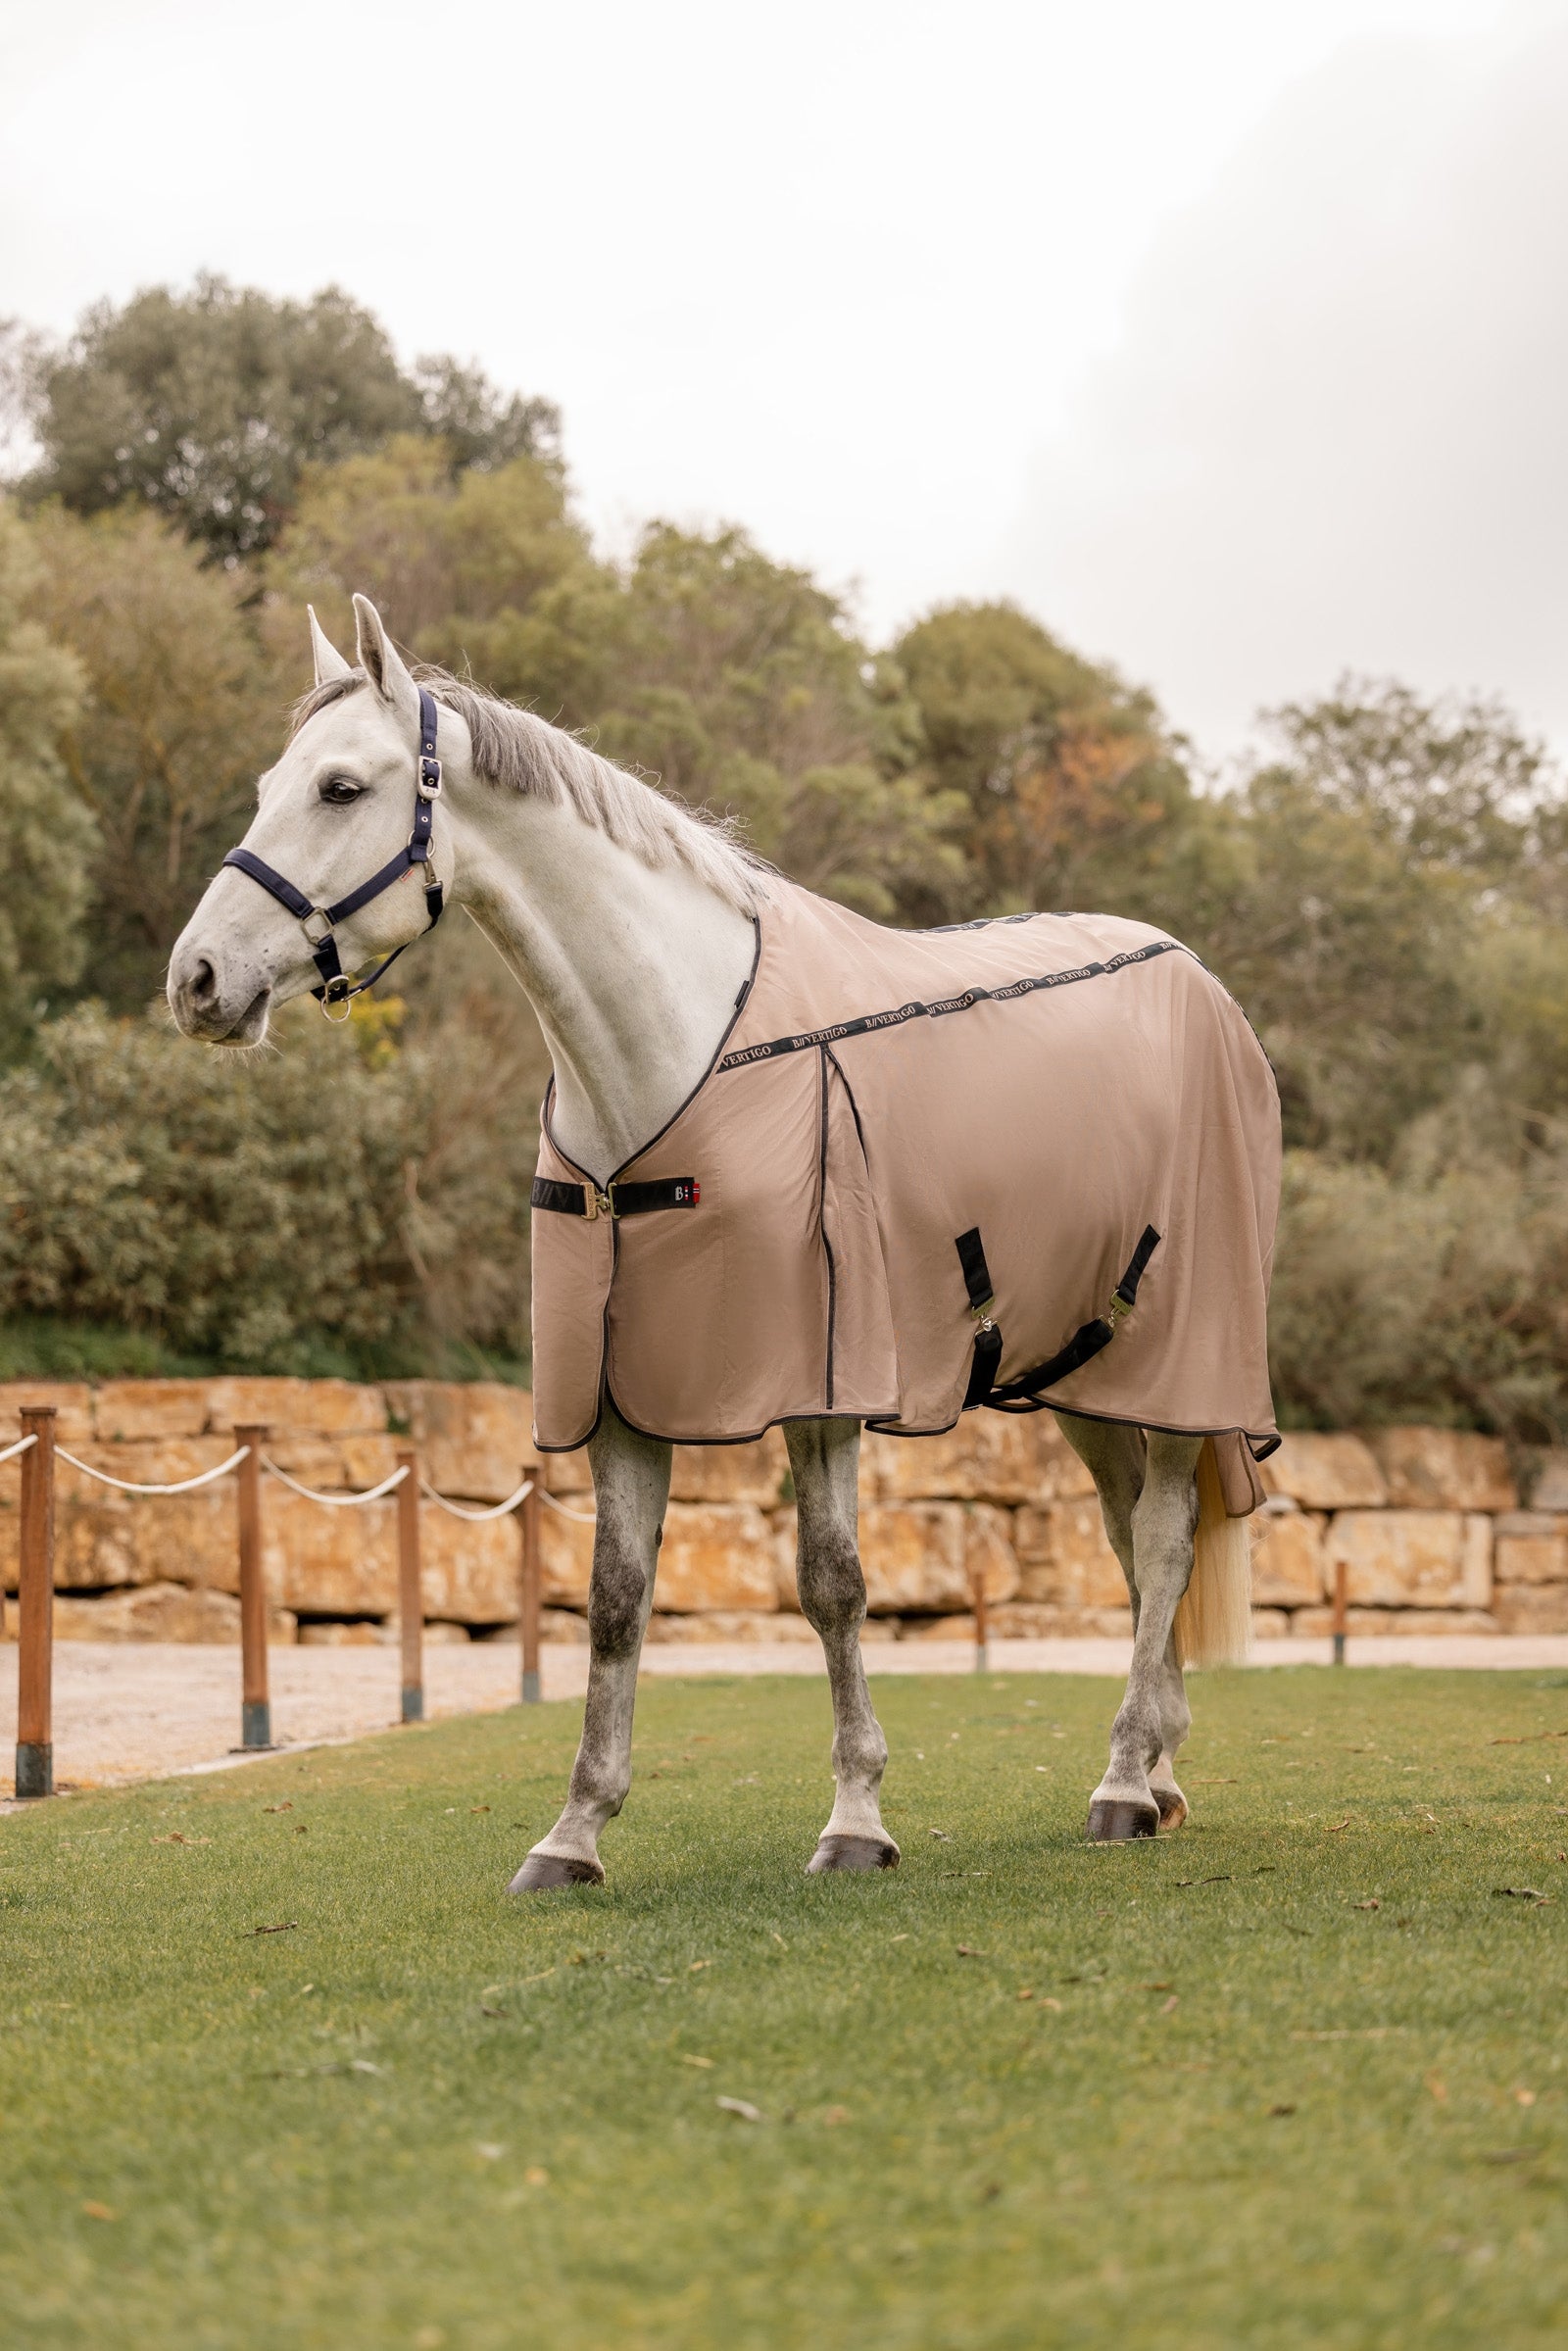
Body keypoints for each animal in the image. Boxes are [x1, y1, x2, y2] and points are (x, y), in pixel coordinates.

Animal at [167, 595, 1281, 1884]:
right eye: (270, 783)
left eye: (341, 786)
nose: (196, 979)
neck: (671, 1045)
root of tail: (1202, 981)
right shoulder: (614, 1389)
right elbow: (613, 1596)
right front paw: (574, 1831)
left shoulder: (821, 1384)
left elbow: (832, 1584)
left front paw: (855, 1817)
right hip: (1077, 1372)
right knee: (1134, 1539)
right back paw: (1155, 1769)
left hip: (1175, 1367)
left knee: (1161, 1541)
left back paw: (1120, 1781)